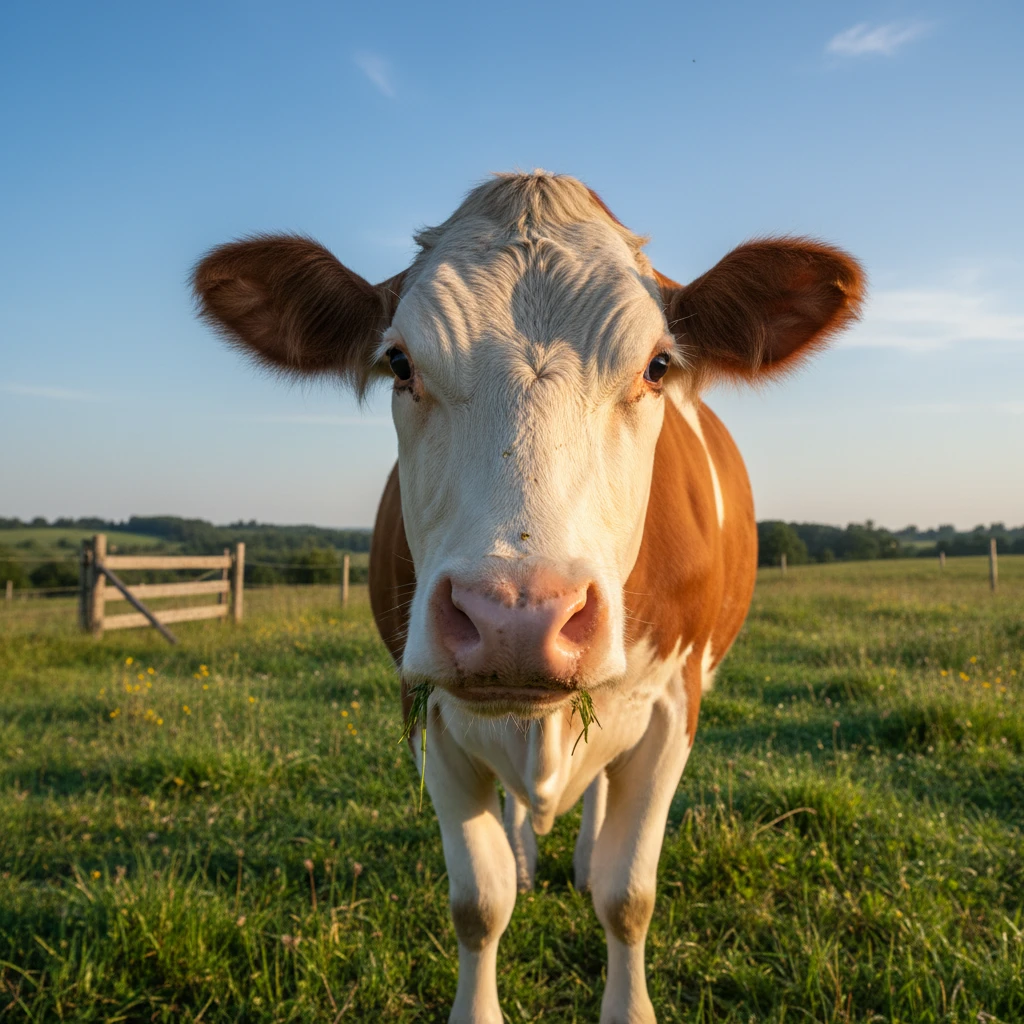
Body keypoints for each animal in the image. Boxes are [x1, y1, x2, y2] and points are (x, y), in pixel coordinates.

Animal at [193, 171, 863, 1024]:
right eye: (399, 362)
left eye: (656, 366)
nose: (516, 617)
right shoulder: (428, 710)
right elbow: (477, 904)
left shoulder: (672, 708)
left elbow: (627, 897)